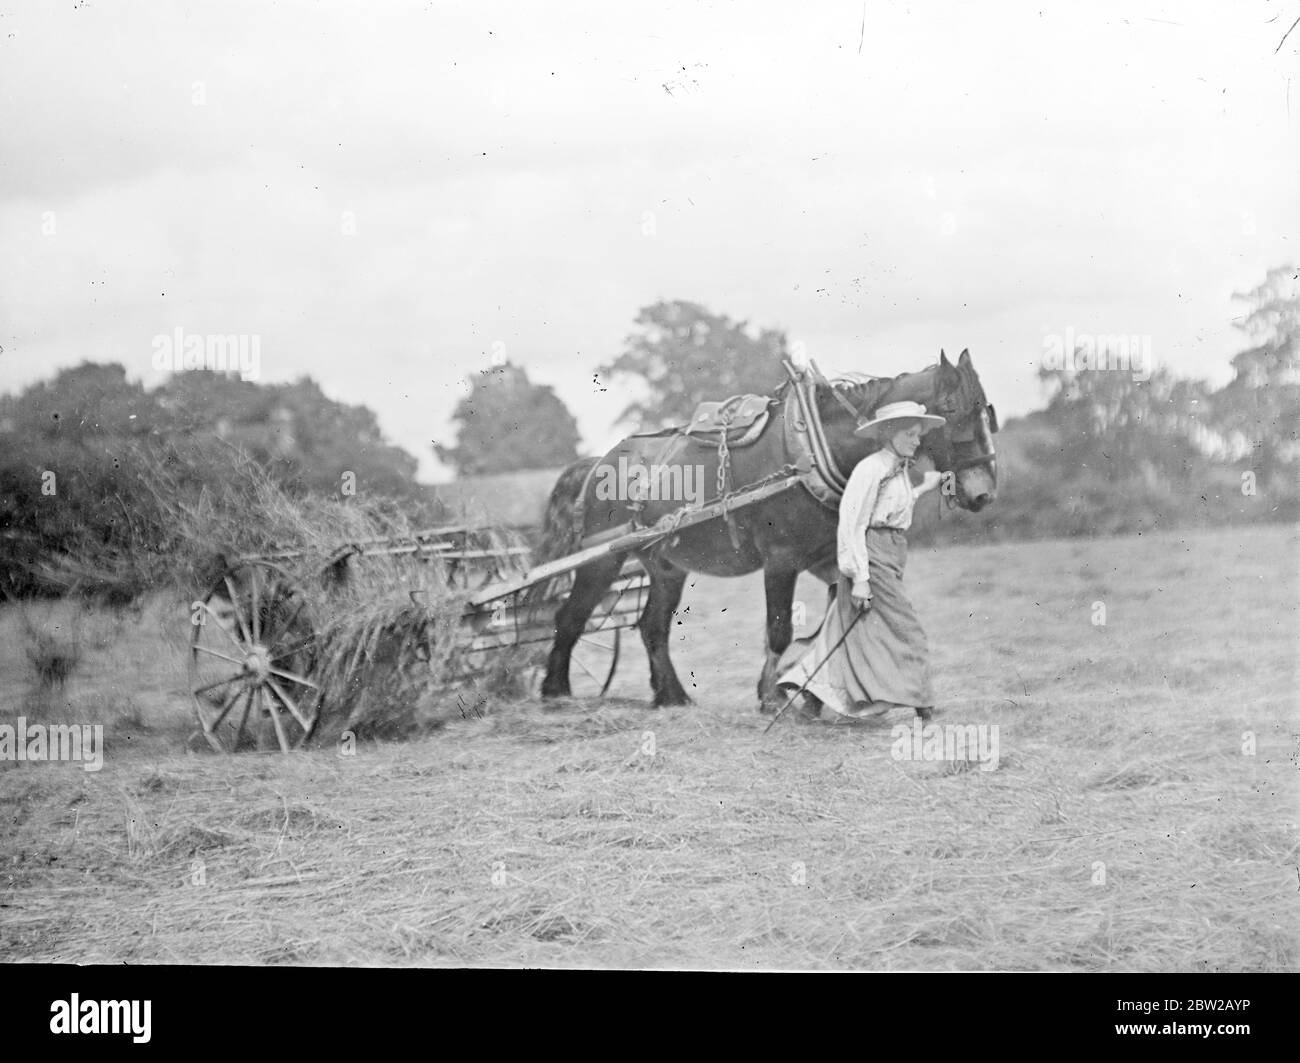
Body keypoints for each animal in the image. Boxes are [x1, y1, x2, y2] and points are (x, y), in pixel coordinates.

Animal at [533, 350, 998, 706]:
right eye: (952, 410)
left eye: (987, 410)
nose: (984, 493)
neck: (816, 450)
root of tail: (595, 463)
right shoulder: (781, 559)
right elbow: (780, 629)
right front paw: (771, 693)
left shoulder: (826, 558)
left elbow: (835, 614)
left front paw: (806, 688)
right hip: (602, 560)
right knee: (570, 616)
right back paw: (556, 691)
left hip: (665, 565)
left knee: (652, 626)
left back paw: (671, 696)